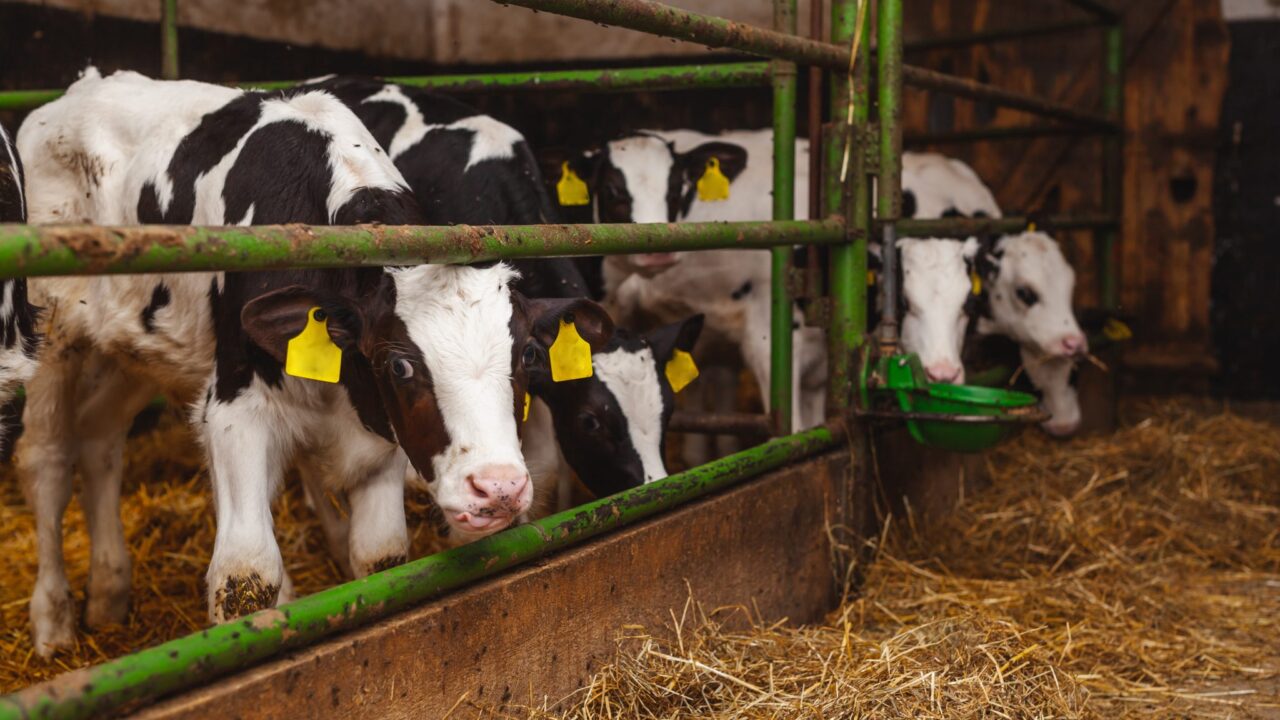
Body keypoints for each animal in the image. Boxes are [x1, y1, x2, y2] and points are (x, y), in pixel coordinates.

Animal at [15, 69, 611, 655]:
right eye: (399, 366)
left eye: (528, 353)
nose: (500, 488)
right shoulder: (235, 410)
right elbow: (246, 576)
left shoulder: (378, 430)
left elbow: (381, 555)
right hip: (48, 334)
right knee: (47, 460)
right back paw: (53, 623)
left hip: (139, 345)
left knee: (99, 433)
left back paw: (108, 592)